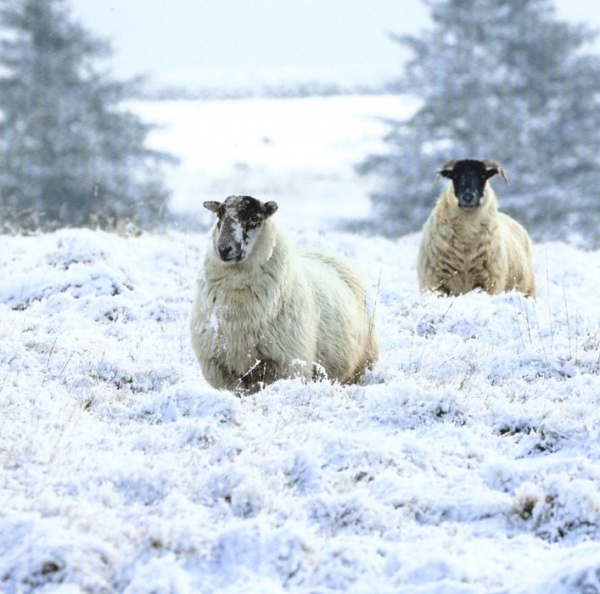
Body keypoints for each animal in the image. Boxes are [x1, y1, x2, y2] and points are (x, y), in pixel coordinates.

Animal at [190, 193, 378, 394]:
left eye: (255, 218)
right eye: (219, 216)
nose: (224, 248)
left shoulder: (284, 364)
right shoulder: (220, 368)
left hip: (361, 364)